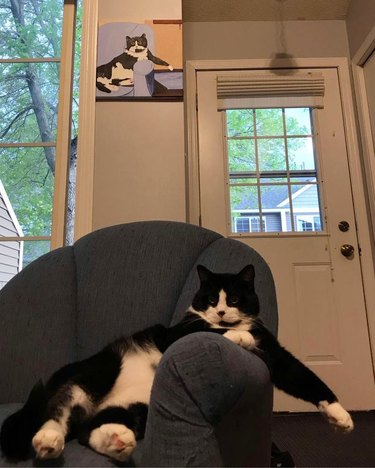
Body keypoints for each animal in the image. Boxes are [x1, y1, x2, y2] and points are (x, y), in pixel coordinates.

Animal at [0, 266, 354, 462]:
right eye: (210, 299)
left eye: (234, 299)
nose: (221, 312)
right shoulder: (178, 333)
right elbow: (211, 331)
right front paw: (239, 337)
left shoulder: (277, 356)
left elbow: (304, 377)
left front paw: (340, 416)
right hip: (97, 372)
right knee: (59, 412)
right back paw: (48, 441)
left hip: (135, 406)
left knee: (87, 430)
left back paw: (117, 441)